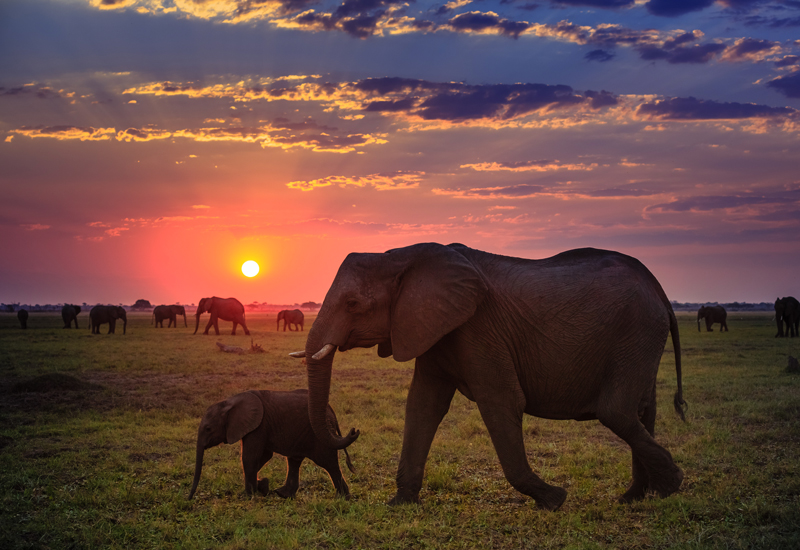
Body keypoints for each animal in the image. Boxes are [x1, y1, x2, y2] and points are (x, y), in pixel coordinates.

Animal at [189, 390, 358, 502]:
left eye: (208, 429)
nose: (189, 498)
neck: (229, 402)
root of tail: (330, 410)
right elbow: (263, 457)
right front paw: (262, 485)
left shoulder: (258, 427)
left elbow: (250, 458)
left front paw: (250, 494)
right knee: (294, 460)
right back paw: (283, 494)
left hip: (320, 436)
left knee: (328, 462)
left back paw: (343, 498)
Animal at [290, 244, 684, 512]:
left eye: (354, 304)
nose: (352, 430)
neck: (401, 256)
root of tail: (659, 289)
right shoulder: (433, 329)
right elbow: (422, 406)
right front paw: (400, 503)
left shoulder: (479, 330)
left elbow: (501, 401)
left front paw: (554, 499)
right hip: (640, 338)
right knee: (641, 411)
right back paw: (634, 498)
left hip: (636, 331)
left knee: (616, 411)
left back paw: (671, 486)